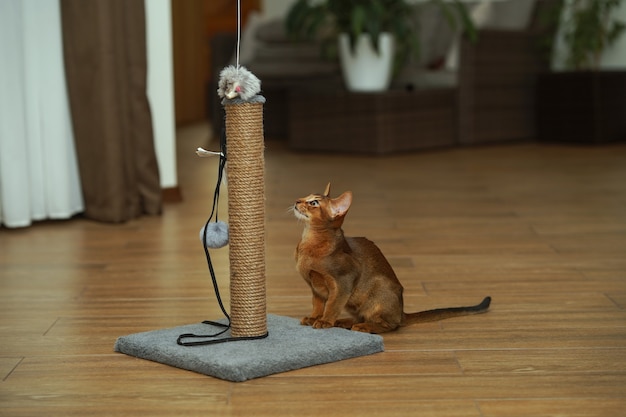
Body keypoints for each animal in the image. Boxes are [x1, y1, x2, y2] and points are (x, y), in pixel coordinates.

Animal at [294, 184, 490, 334]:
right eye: (306, 196)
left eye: (313, 202)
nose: (297, 201)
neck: (309, 243)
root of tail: (401, 311)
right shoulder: (315, 286)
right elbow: (318, 304)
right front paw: (314, 317)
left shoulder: (344, 282)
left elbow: (332, 305)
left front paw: (325, 321)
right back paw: (346, 322)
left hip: (379, 290)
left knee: (390, 325)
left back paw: (363, 326)